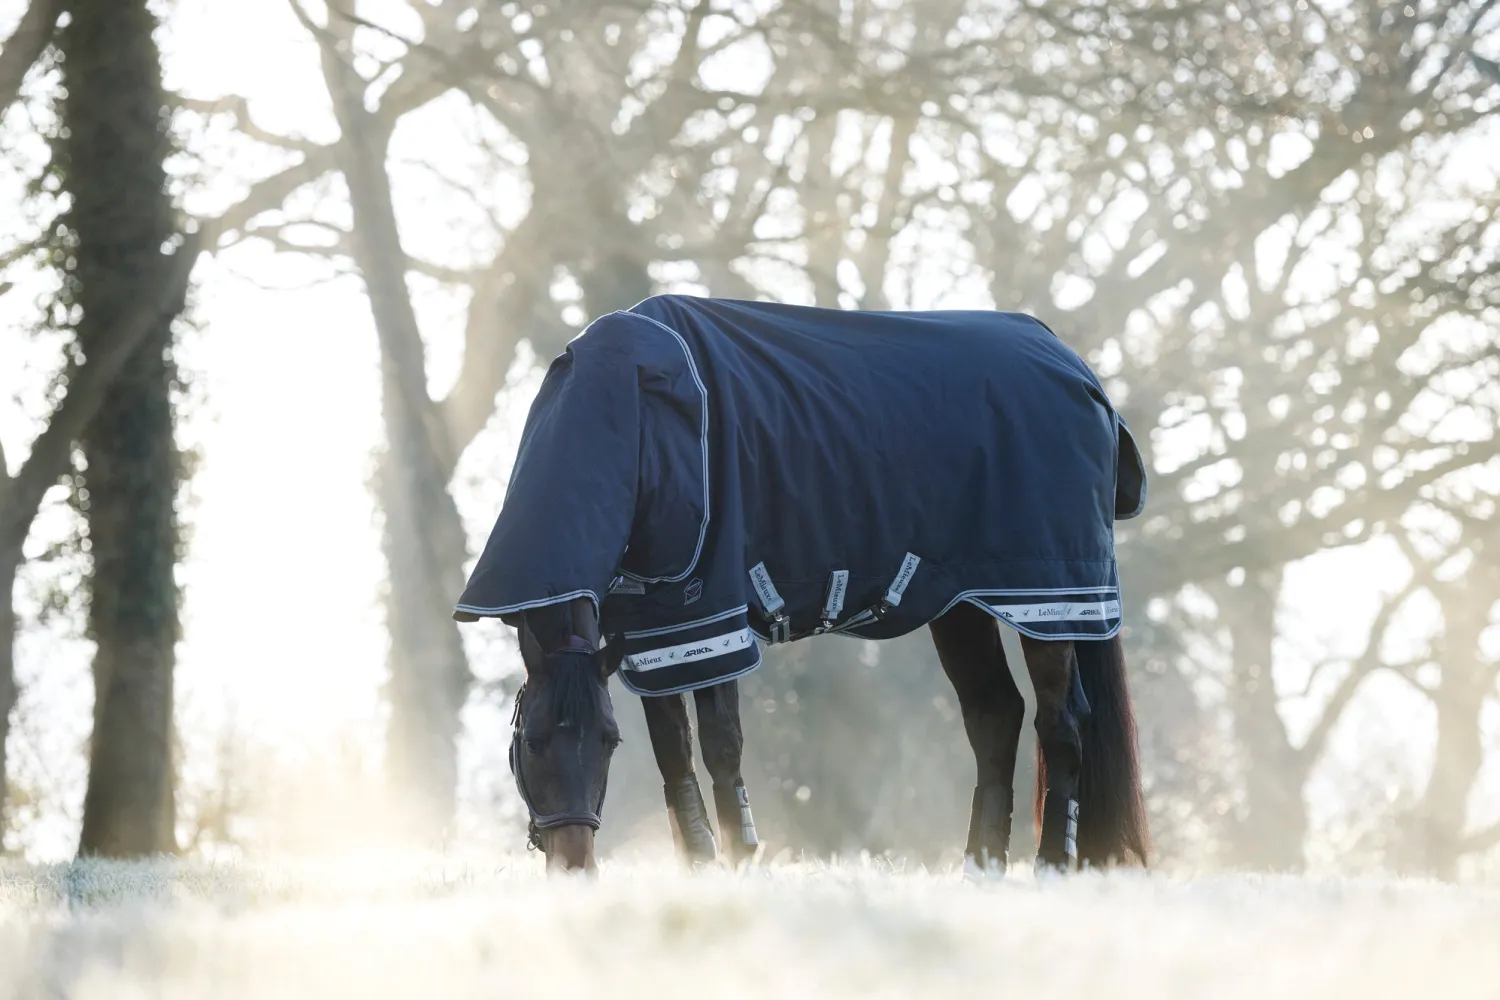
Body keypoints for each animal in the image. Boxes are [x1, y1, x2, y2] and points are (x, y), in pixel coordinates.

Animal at [456, 295, 1150, 874]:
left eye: (605, 741)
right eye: (532, 741)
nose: (574, 866)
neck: (640, 417)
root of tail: (1078, 371)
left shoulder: (713, 611)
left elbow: (721, 745)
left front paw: (741, 860)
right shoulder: (652, 629)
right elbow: (673, 750)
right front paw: (700, 866)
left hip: (1050, 602)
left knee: (1062, 722)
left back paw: (1053, 865)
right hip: (964, 605)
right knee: (994, 717)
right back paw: (980, 868)